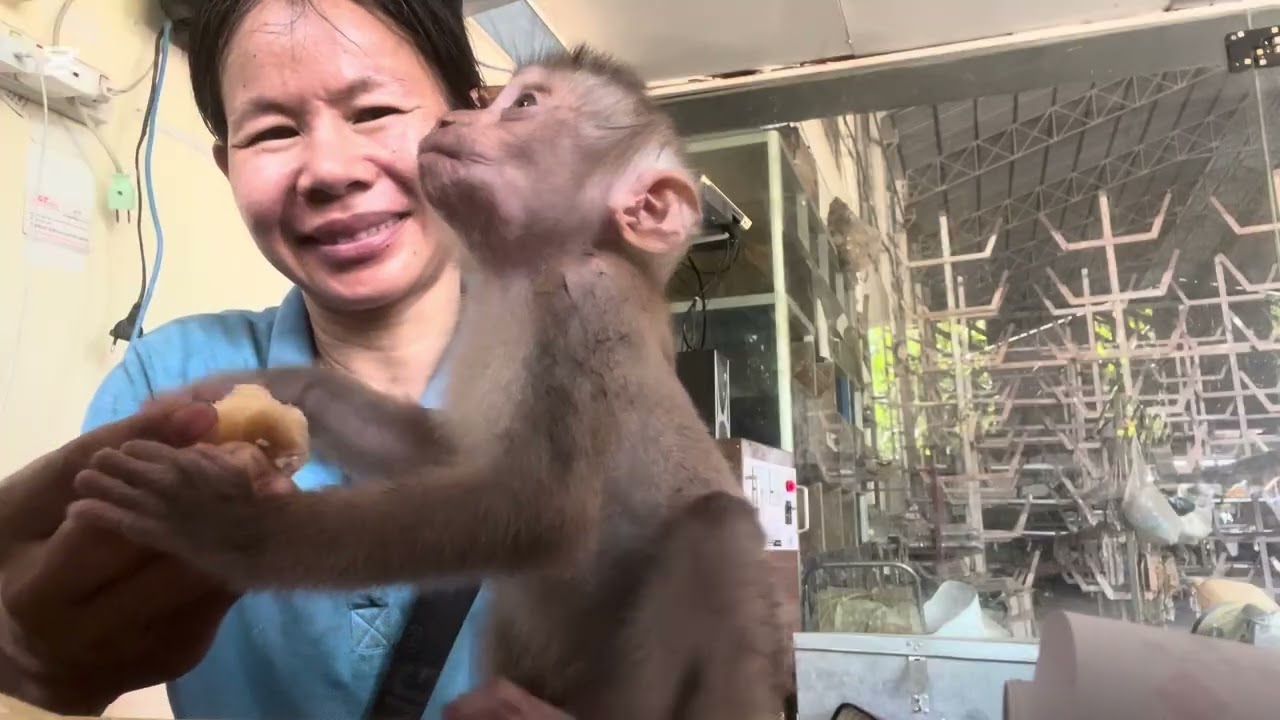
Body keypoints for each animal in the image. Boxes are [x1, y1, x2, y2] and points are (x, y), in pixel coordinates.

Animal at [70, 46, 790, 719]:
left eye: (523, 106)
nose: (449, 120)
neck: (523, 275)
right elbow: (445, 454)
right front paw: (278, 386)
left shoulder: (589, 303)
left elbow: (543, 508)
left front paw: (231, 526)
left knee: (717, 531)